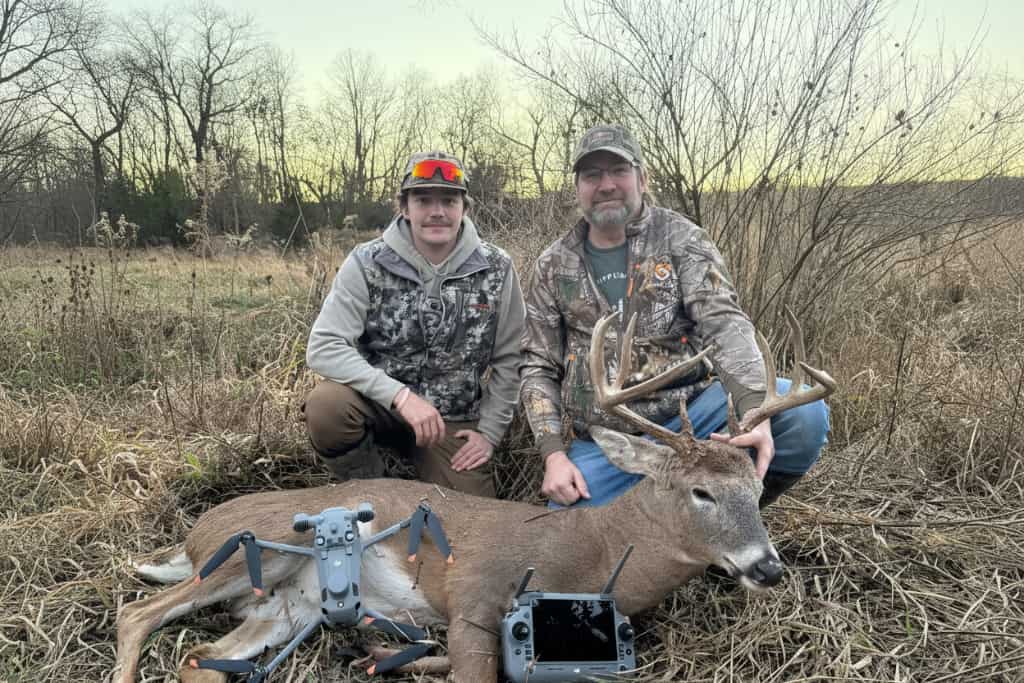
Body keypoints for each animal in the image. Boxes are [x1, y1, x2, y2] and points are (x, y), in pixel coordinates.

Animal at [114, 310, 835, 683]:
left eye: (755, 486)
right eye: (700, 491)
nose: (768, 567)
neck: (595, 553)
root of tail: (192, 535)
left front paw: (382, 655)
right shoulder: (474, 594)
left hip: (289, 607)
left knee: (198, 662)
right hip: (252, 549)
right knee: (138, 613)